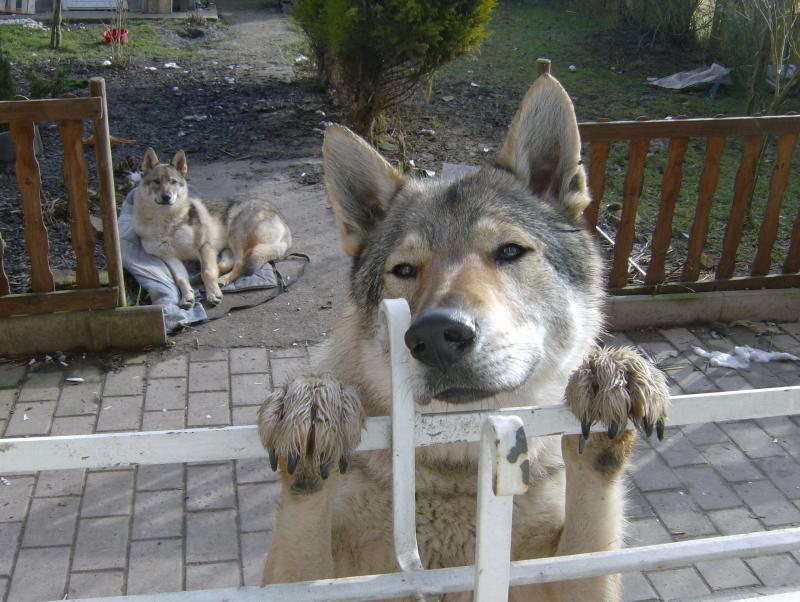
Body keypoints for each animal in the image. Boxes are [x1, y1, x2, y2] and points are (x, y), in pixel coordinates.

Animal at [133, 145, 292, 304]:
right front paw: (187, 296)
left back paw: (222, 279)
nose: (167, 197)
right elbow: (180, 278)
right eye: (156, 181)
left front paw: (213, 293)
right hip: (228, 247)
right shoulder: (169, 257)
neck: (167, 223)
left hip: (236, 235)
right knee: (226, 264)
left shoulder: (204, 246)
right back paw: (199, 279)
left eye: (173, 182)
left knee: (240, 264)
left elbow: (208, 271)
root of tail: (284, 224)